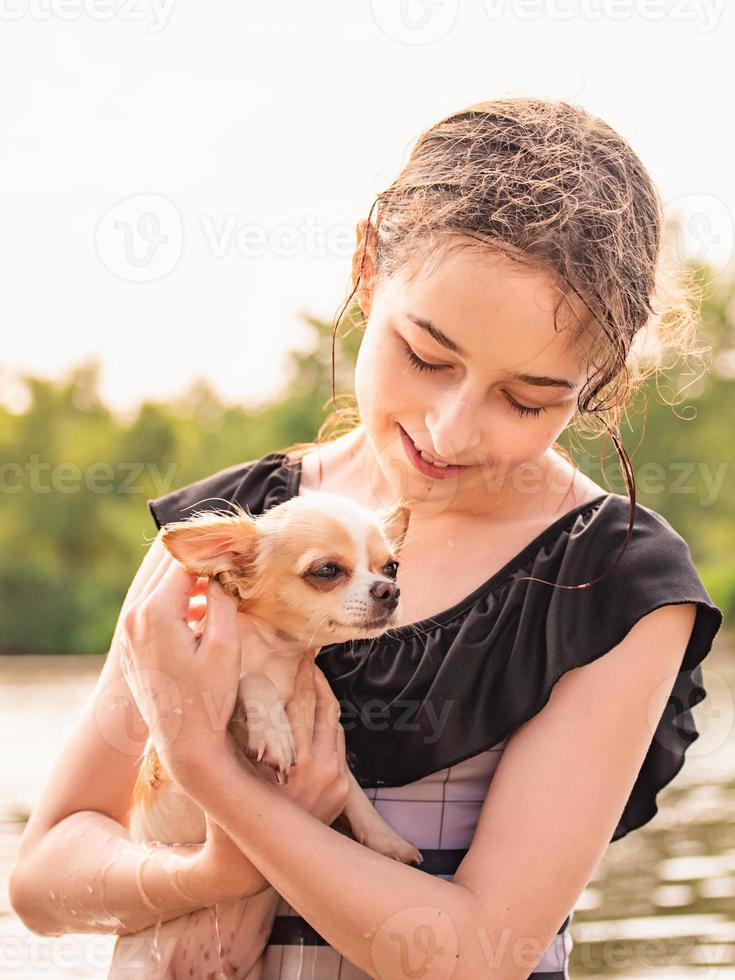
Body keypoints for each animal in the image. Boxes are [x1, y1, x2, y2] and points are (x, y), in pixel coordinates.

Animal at [112, 494, 428, 976]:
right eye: (326, 571)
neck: (280, 655)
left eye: (391, 567)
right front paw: (274, 732)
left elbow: (352, 789)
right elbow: (252, 680)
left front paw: (385, 840)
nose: (389, 590)